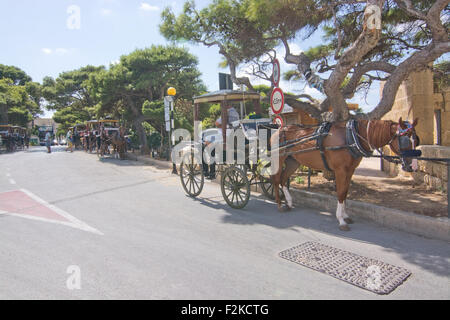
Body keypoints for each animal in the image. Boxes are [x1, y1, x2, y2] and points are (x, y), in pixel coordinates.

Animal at [268, 117, 420, 230]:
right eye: (405, 140)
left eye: (416, 140)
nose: (413, 167)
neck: (350, 137)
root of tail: (279, 129)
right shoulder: (340, 170)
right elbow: (340, 193)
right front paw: (341, 220)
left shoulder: (350, 170)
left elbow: (346, 192)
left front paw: (345, 216)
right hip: (279, 159)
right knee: (275, 179)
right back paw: (279, 204)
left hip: (293, 161)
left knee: (283, 180)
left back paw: (288, 203)